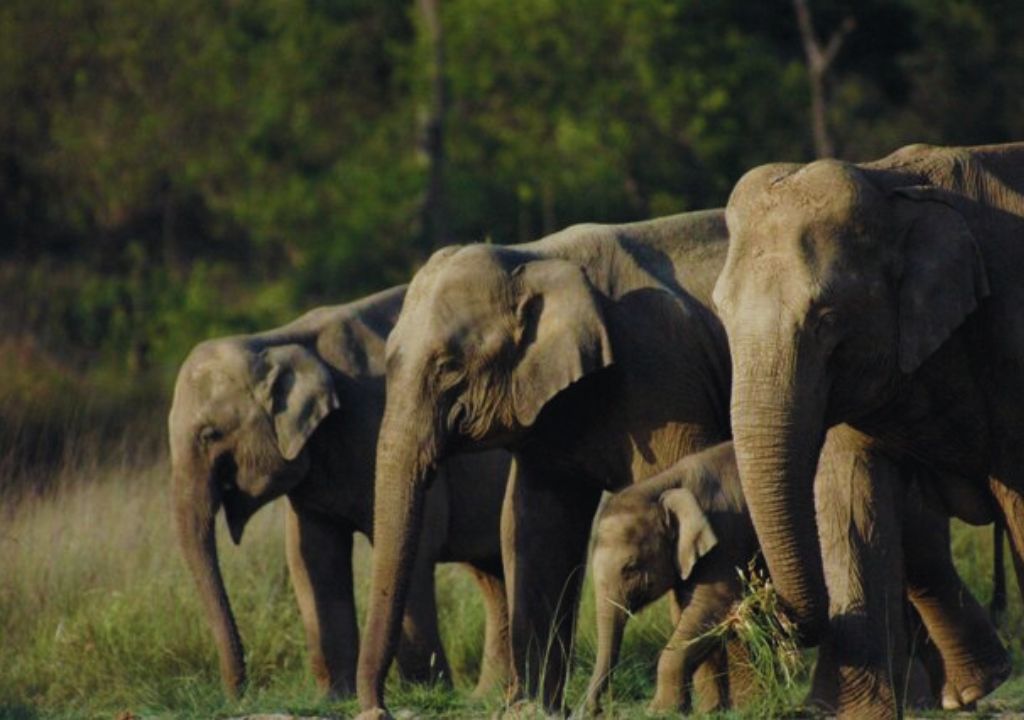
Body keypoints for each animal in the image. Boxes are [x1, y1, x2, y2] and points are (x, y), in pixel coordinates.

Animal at [168, 286, 512, 699]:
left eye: (209, 434)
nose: (239, 694)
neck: (276, 341)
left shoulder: (382, 423)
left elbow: (412, 548)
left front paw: (426, 694)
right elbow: (312, 557)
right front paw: (336, 696)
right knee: (492, 572)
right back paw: (490, 694)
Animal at [712, 142, 1024, 717]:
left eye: (828, 318)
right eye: (719, 313)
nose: (763, 610)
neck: (891, 186)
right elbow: (849, 499)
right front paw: (846, 712)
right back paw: (968, 691)